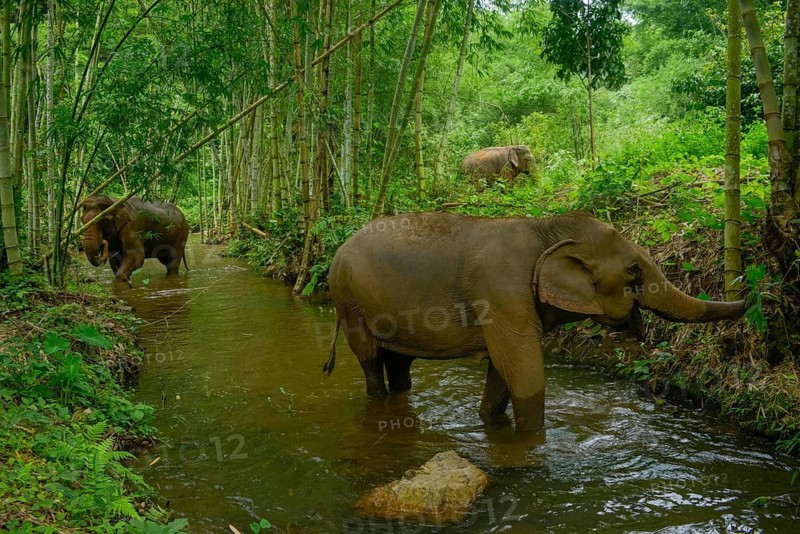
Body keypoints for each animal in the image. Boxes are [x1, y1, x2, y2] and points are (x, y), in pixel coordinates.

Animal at [323, 212, 746, 433]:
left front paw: (490, 422)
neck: (546, 228)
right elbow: (524, 372)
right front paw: (530, 438)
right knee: (370, 361)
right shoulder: (502, 294)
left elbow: (502, 370)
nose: (750, 293)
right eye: (633, 271)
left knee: (399, 364)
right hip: (348, 301)